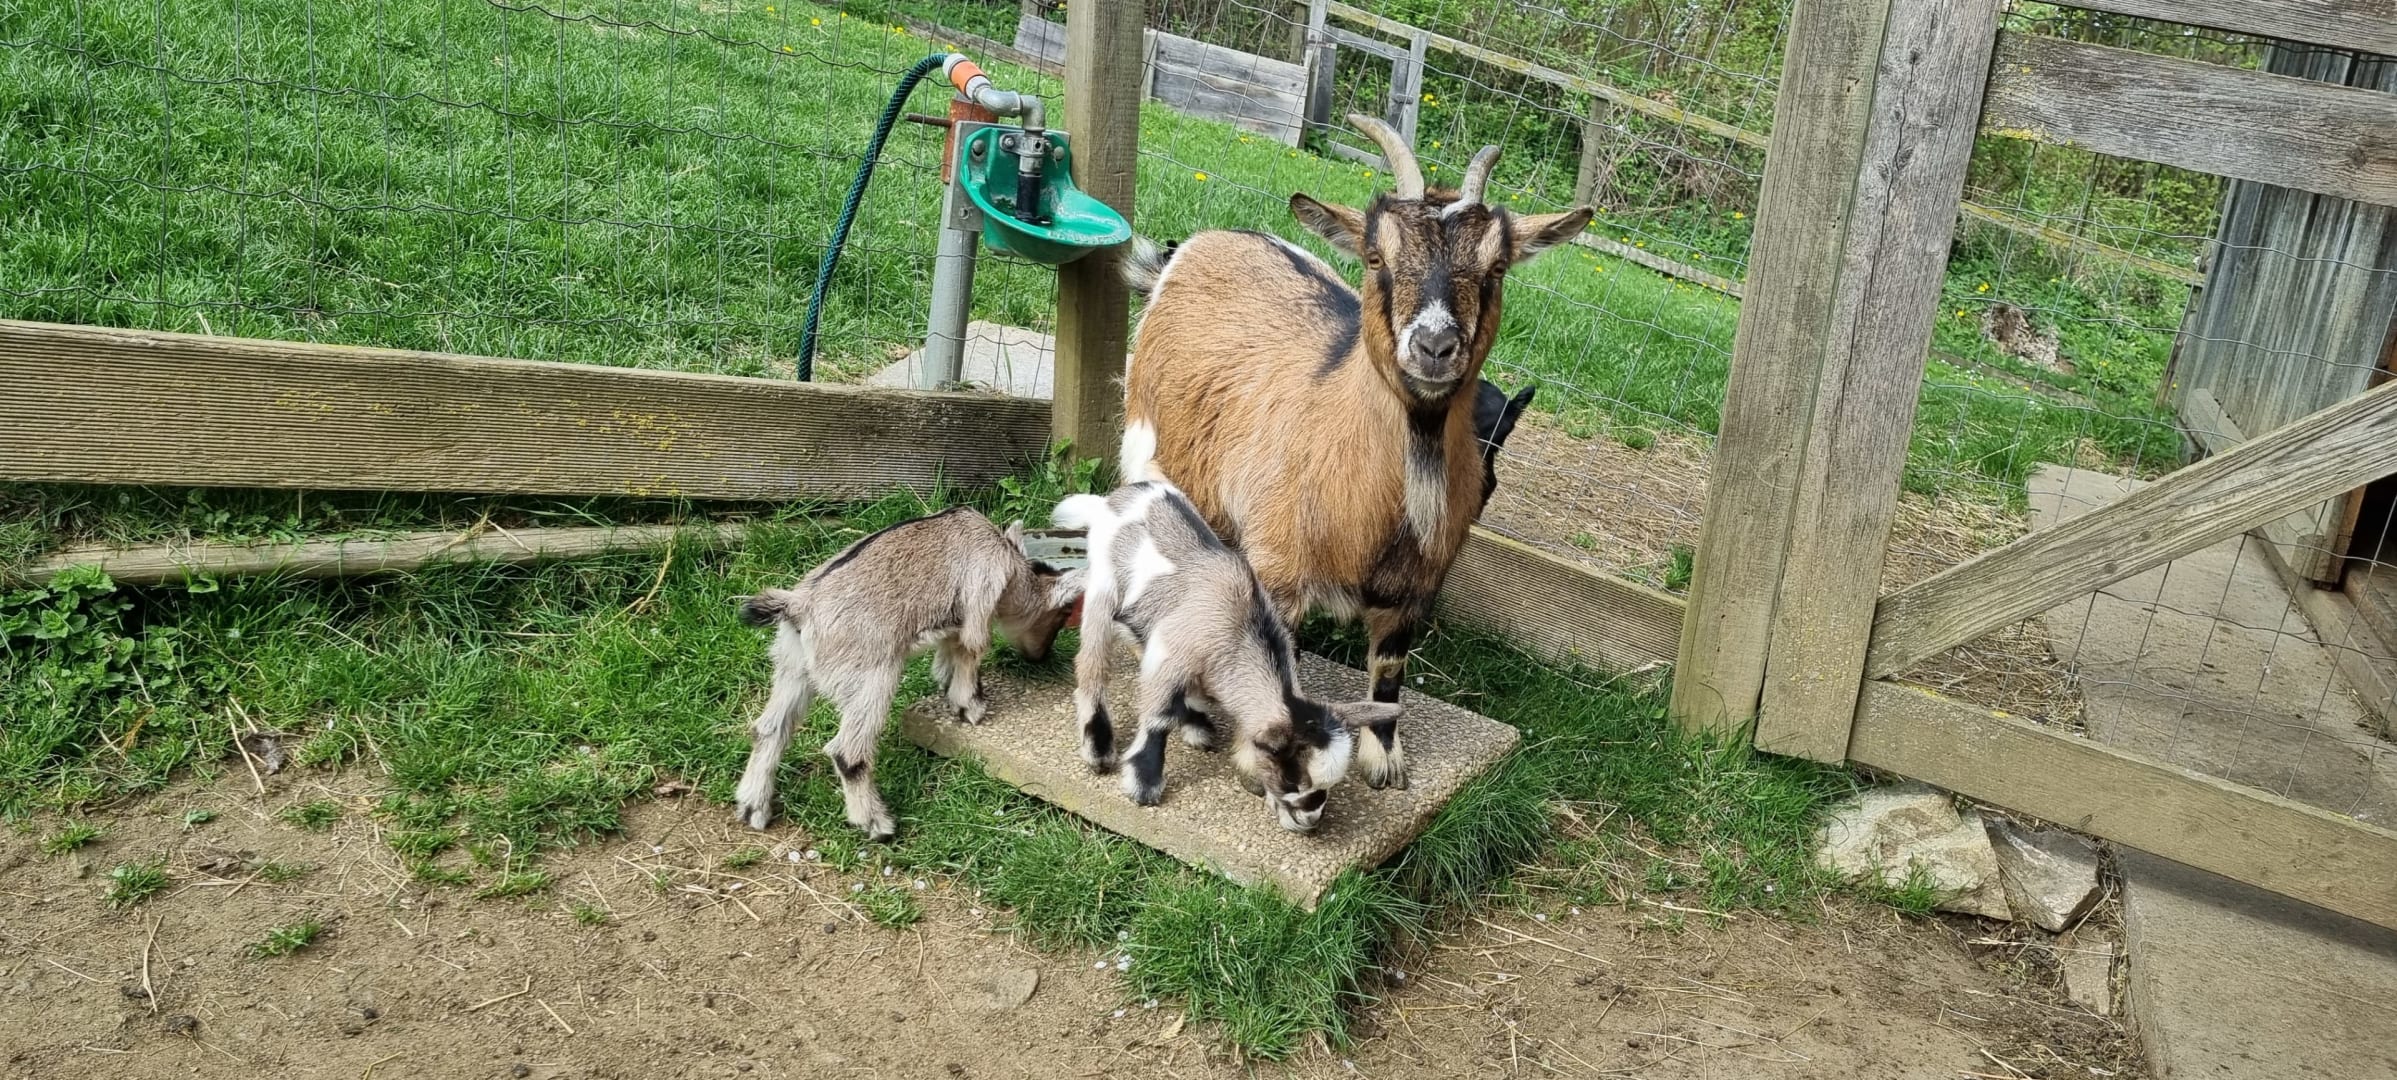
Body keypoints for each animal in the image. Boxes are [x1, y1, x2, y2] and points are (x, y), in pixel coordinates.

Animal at [733, 507, 1083, 840]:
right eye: (1064, 613)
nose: (1040, 656)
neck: (1008, 563)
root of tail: (800, 606)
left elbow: (951, 645)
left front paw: (946, 681)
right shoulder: (979, 600)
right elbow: (971, 649)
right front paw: (970, 706)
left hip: (792, 669)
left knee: (769, 729)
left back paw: (753, 806)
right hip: (872, 679)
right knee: (847, 753)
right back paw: (876, 823)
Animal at [1051, 482, 1401, 832]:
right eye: (1291, 780)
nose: (1310, 821)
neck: (1242, 631)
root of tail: (1121, 497)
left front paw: (1195, 725)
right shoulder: (1169, 653)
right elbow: (1159, 717)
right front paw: (1143, 785)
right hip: (1103, 589)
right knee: (1092, 663)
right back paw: (1097, 748)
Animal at [1117, 115, 1590, 789]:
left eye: (1497, 268)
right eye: (1376, 256)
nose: (1434, 346)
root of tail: (1192, 249)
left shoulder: (1415, 589)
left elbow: (1389, 672)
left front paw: (1384, 760)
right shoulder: (1280, 569)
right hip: (1149, 443)